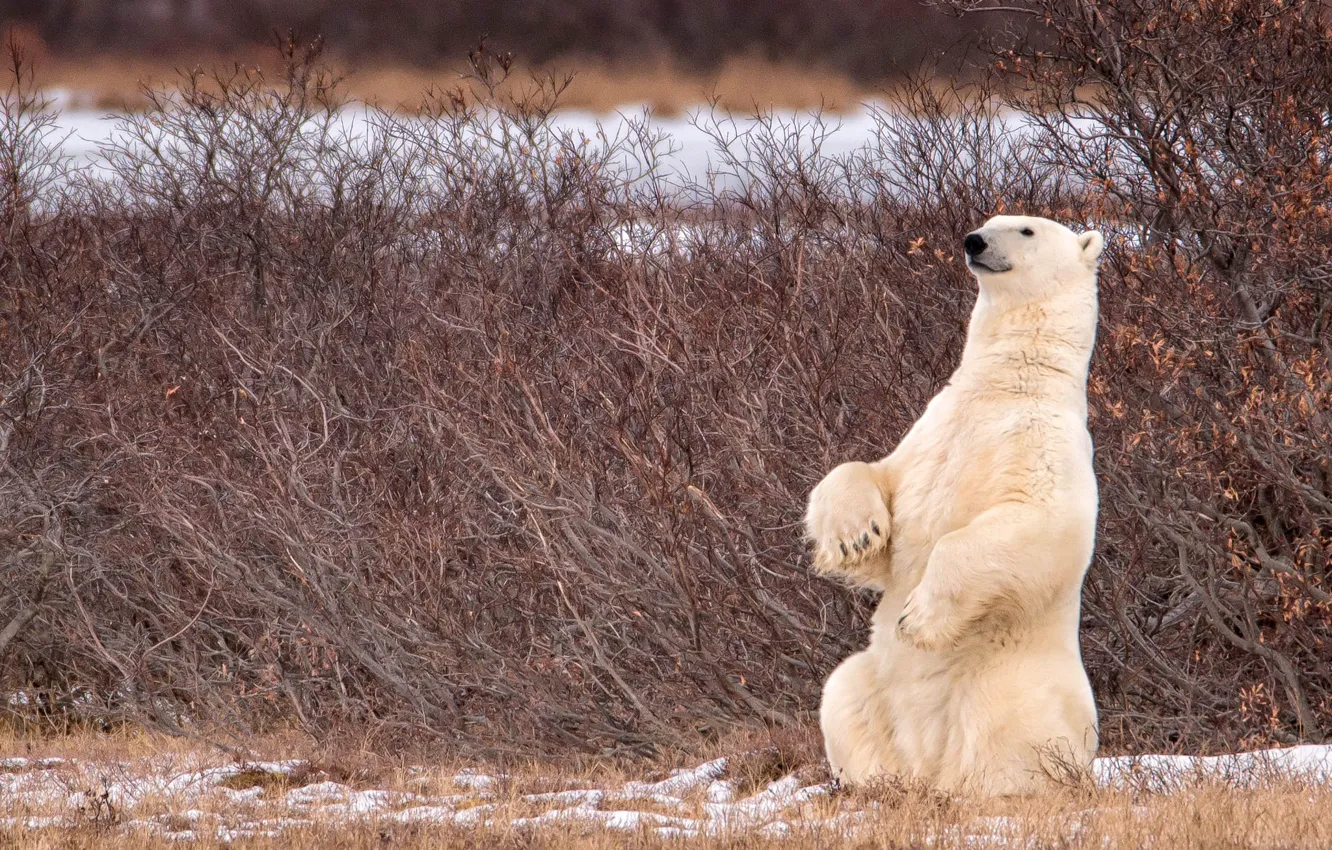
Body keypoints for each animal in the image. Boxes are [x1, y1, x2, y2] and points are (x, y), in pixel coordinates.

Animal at [809, 213, 1102, 799]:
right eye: (990, 222)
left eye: (1026, 229)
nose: (974, 241)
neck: (1006, 387)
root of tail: (928, 760)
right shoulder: (930, 434)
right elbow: (874, 479)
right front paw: (854, 536)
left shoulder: (1048, 451)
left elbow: (1038, 523)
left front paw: (917, 617)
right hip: (874, 683)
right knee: (843, 694)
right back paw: (879, 785)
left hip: (1011, 677)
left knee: (1008, 725)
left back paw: (992, 789)